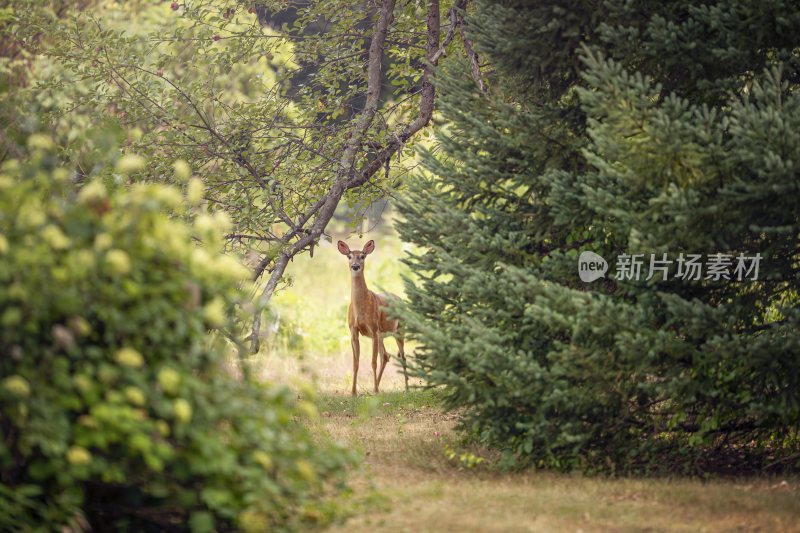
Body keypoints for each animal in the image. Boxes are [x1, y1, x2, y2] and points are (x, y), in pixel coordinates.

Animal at [338, 239, 406, 392]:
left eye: (362, 256)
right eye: (349, 256)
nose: (355, 266)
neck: (361, 309)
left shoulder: (373, 329)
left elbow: (373, 362)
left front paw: (374, 391)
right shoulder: (353, 331)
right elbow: (355, 363)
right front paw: (353, 392)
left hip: (399, 330)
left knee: (402, 357)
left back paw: (406, 388)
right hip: (382, 335)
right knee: (385, 356)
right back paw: (377, 386)